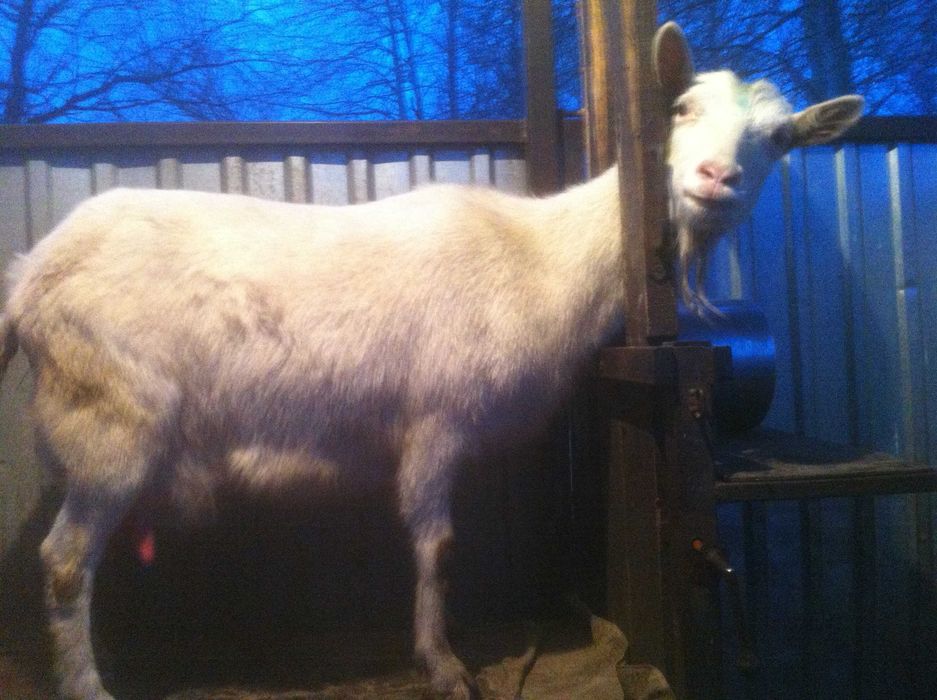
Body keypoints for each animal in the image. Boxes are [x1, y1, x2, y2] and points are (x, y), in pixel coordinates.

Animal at [0, 22, 861, 700]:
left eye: (780, 140)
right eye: (681, 110)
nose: (718, 180)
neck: (542, 256)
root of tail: (33, 273)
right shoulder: (437, 418)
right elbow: (437, 546)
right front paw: (444, 665)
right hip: (109, 420)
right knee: (66, 563)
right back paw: (87, 684)